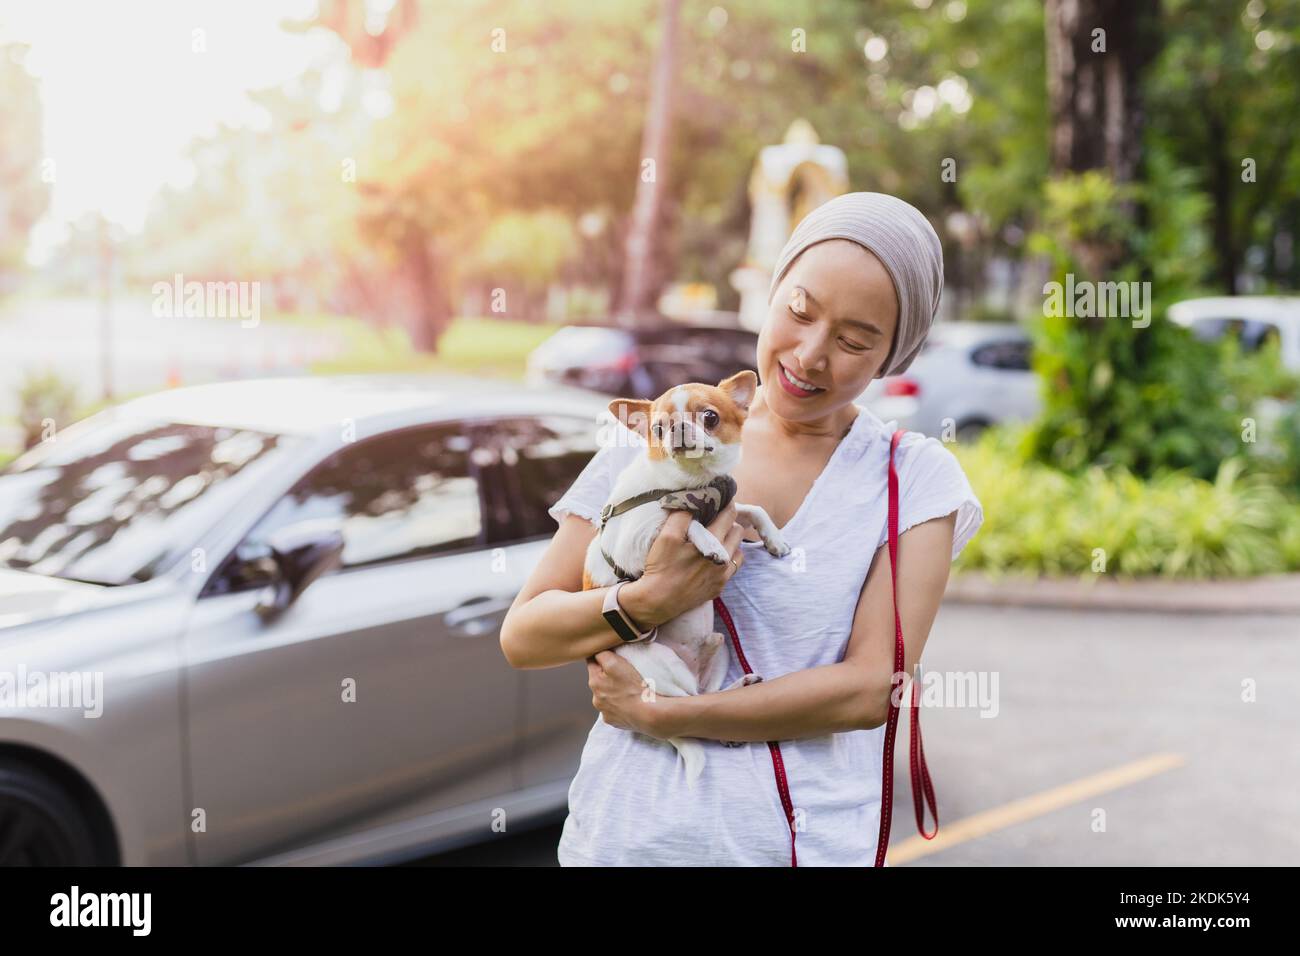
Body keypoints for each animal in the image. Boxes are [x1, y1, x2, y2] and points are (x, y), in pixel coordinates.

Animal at [582, 369, 785, 790]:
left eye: (710, 417)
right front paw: (710, 543)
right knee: (685, 709)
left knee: (705, 704)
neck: (692, 483)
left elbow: (751, 508)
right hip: (662, 666)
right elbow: (683, 518)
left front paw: (775, 538)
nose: (674, 428)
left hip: (720, 646)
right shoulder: (636, 542)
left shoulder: (729, 507)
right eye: (657, 428)